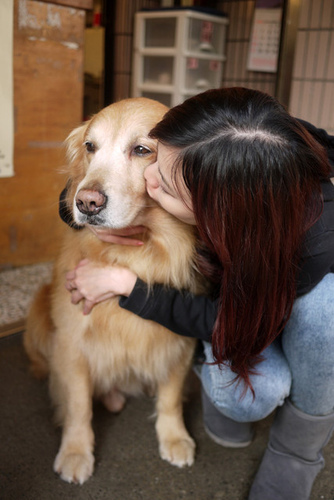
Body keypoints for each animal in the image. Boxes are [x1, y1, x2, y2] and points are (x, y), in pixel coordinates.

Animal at [23, 97, 205, 484]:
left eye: (142, 150)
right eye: (90, 146)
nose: (86, 202)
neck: (139, 254)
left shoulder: (180, 339)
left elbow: (170, 395)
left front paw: (174, 436)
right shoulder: (72, 340)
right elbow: (78, 404)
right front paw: (76, 451)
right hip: (39, 308)